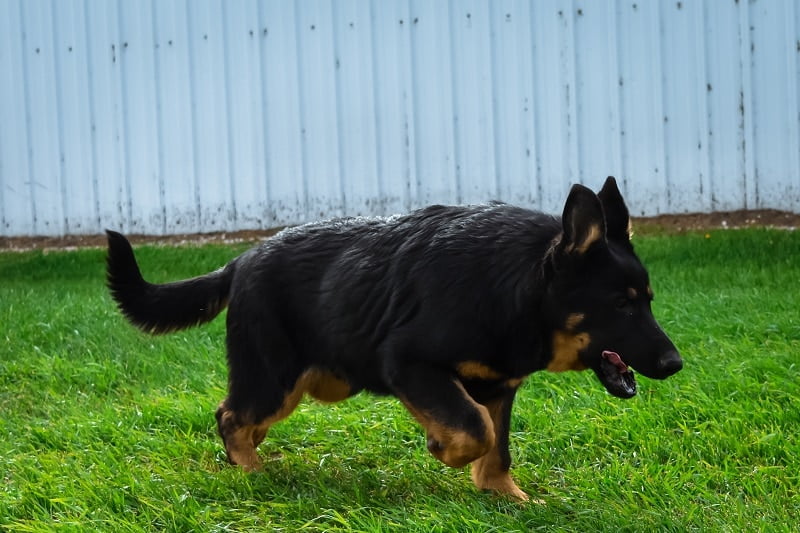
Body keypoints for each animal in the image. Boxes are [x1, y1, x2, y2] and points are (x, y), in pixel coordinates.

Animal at [104, 177, 680, 500]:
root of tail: (240, 260)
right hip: (274, 377)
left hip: (293, 383)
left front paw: (505, 497)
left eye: (649, 298)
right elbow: (474, 428)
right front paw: (445, 450)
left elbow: (497, 448)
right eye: (622, 303)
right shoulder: (408, 363)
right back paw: (250, 472)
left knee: (240, 418)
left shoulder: (499, 387)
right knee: (230, 416)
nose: (675, 364)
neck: (517, 286)